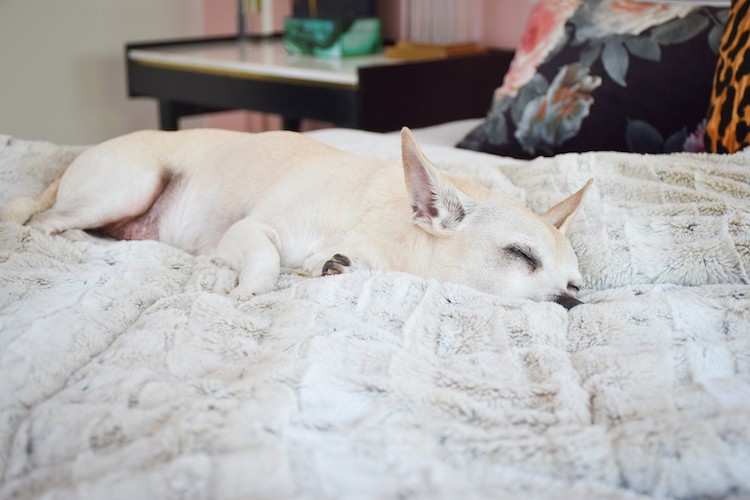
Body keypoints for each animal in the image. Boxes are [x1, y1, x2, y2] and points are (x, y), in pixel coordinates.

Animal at [4, 128, 592, 308]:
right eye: (519, 255)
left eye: (575, 286)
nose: (570, 305)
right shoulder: (249, 233)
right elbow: (265, 260)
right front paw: (249, 290)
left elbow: (338, 267)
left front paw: (335, 267)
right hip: (131, 185)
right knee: (43, 225)